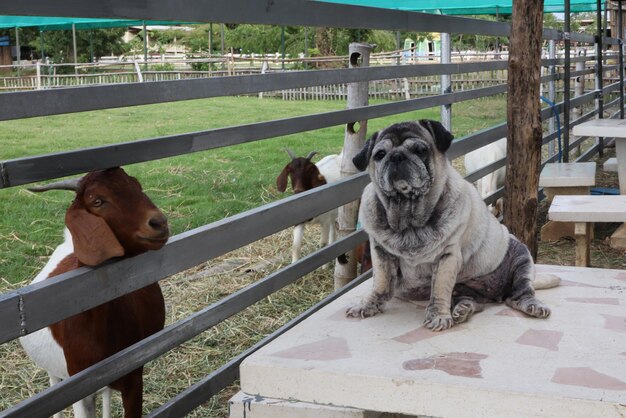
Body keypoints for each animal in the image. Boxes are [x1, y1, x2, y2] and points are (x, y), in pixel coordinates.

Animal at [20, 167, 169, 418]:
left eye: (136, 186)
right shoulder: (80, 390)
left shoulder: (133, 376)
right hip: (55, 374)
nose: (159, 223)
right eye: (97, 201)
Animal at [346, 119, 552, 332]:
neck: (409, 218)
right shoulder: (381, 254)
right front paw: (368, 304)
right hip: (467, 290)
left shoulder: (447, 257)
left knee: (520, 294)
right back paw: (463, 309)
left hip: (521, 257)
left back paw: (532, 305)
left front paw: (438, 315)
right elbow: (381, 282)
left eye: (420, 150)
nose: (396, 156)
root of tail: (497, 293)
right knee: (475, 301)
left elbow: (439, 289)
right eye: (379, 155)